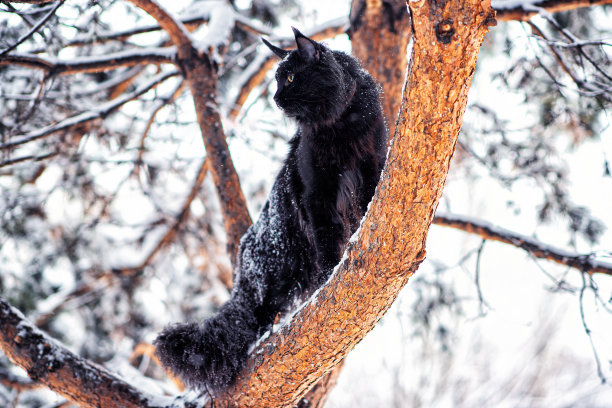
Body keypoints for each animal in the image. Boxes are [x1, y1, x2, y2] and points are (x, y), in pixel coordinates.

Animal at [154, 27, 382, 390]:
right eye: (276, 81)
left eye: (289, 78)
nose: (275, 98)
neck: (338, 125)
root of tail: (241, 260)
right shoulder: (317, 196)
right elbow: (328, 243)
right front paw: (330, 275)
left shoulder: (371, 170)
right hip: (275, 279)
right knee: (253, 323)